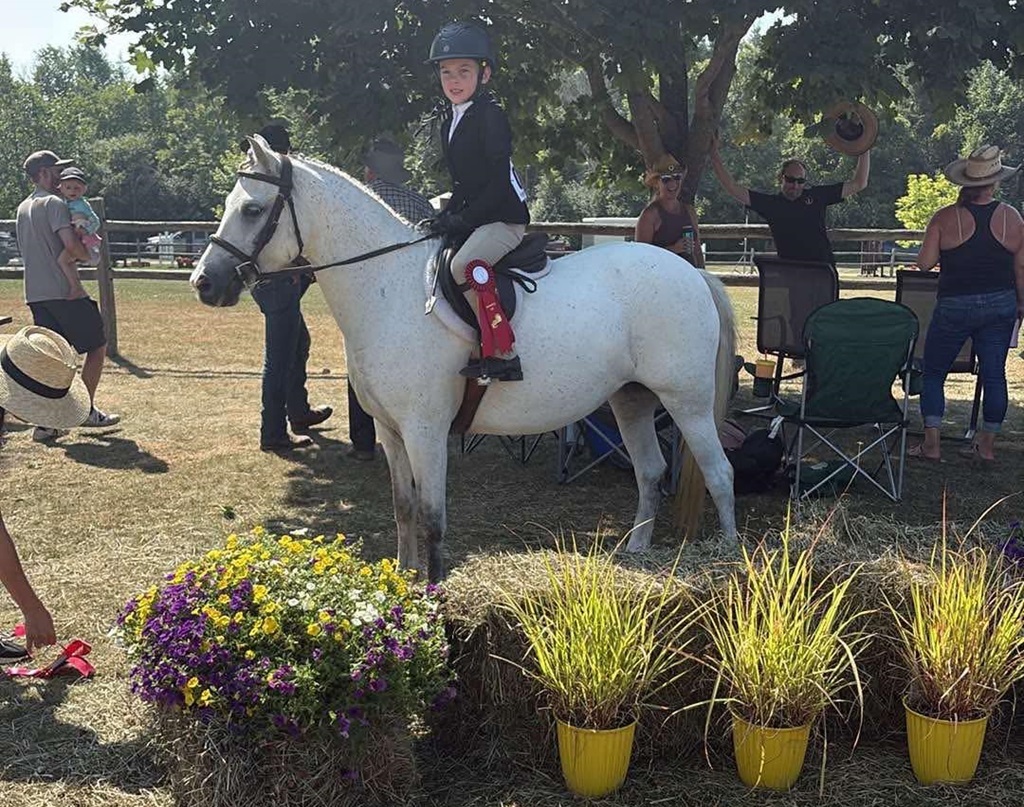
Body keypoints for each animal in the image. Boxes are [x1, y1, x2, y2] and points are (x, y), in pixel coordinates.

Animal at [190, 135, 738, 581]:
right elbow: (404, 507)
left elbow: (433, 516)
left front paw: (433, 590)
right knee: (649, 472)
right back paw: (637, 553)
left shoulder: (425, 430)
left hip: (686, 402)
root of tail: (691, 273)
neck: (386, 286)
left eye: (253, 210)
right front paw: (405, 578)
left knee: (719, 473)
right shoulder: (391, 431)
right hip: (631, 400)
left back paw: (731, 560)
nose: (204, 283)